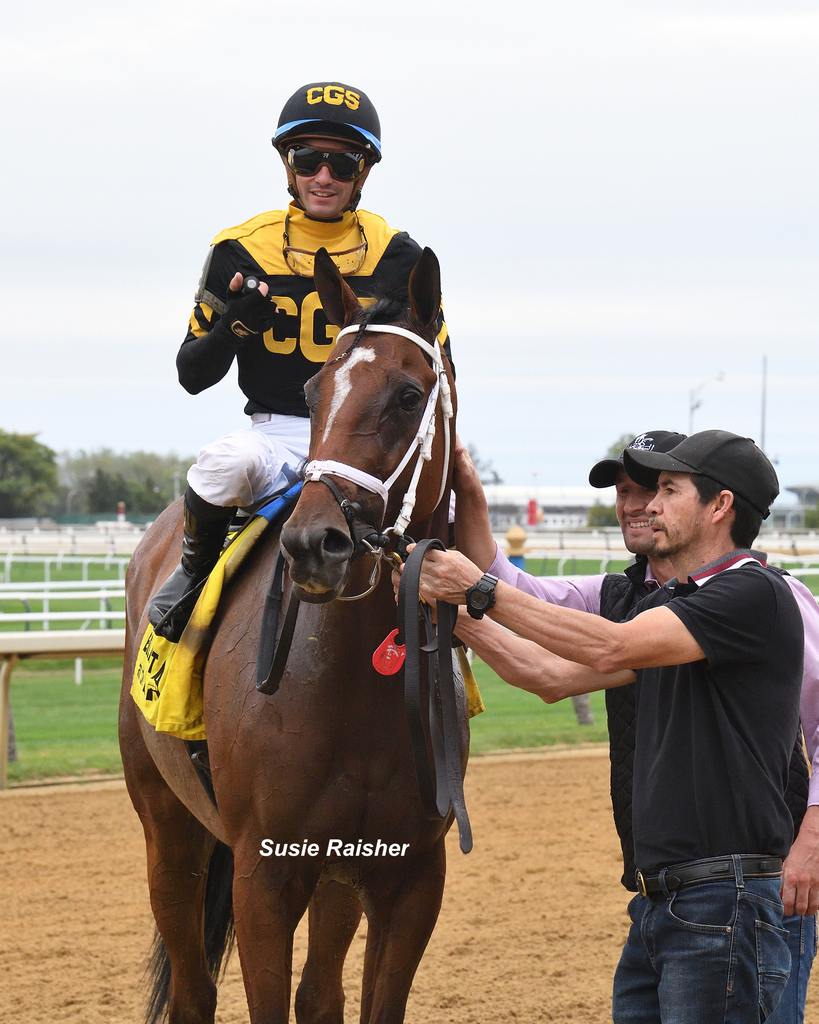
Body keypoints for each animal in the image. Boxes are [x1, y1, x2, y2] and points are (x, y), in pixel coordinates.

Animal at [121, 247, 466, 1024]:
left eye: (408, 395)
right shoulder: (264, 878)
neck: (351, 687)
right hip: (168, 831)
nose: (314, 543)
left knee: (319, 994)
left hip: (336, 876)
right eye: (314, 391)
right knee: (192, 990)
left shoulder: (409, 879)